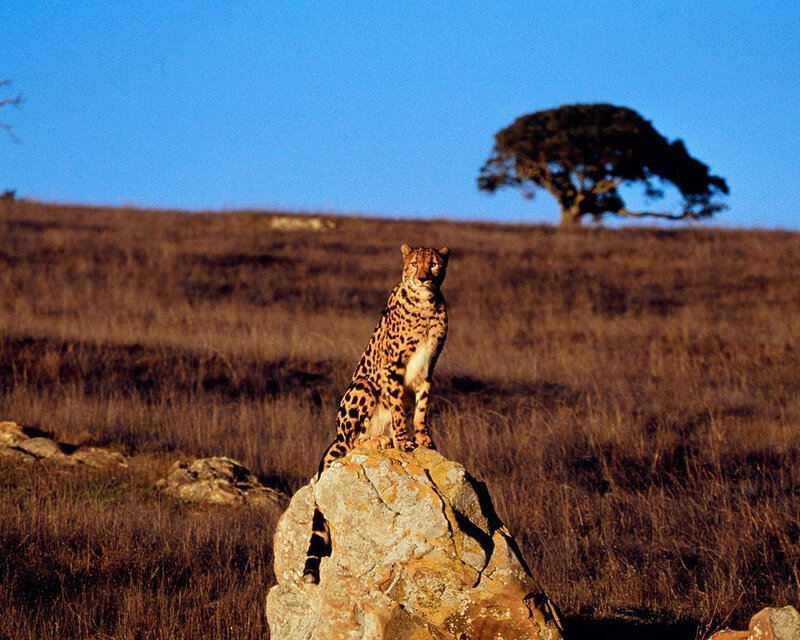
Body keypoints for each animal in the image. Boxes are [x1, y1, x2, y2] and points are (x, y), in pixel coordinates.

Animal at [301, 243, 450, 584]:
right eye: (414, 264)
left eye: (434, 264)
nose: (423, 278)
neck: (426, 305)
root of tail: (335, 434)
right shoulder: (392, 367)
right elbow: (398, 408)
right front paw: (403, 441)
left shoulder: (429, 367)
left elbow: (421, 408)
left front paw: (424, 439)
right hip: (363, 386)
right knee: (352, 442)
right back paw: (379, 441)